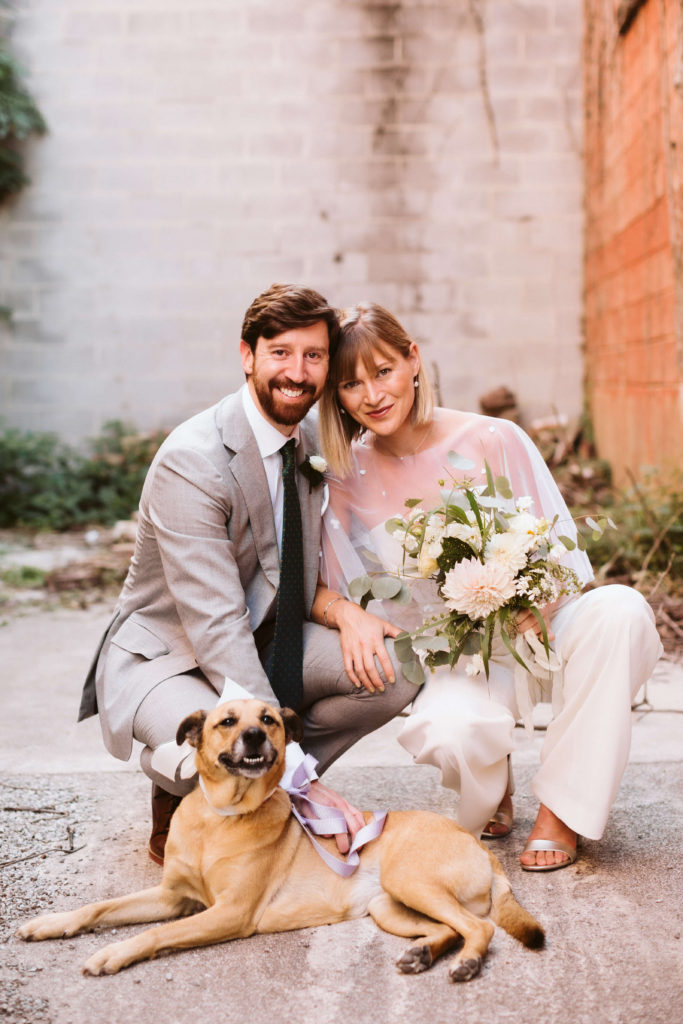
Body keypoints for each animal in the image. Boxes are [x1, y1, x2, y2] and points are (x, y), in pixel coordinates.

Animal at [17, 700, 544, 978]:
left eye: (268, 718)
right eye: (227, 722)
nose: (254, 735)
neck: (221, 818)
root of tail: (481, 848)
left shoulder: (228, 913)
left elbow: (154, 933)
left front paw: (112, 953)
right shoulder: (173, 897)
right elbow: (100, 907)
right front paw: (53, 923)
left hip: (409, 880)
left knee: (479, 929)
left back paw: (467, 963)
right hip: (389, 906)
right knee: (451, 928)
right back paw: (424, 953)